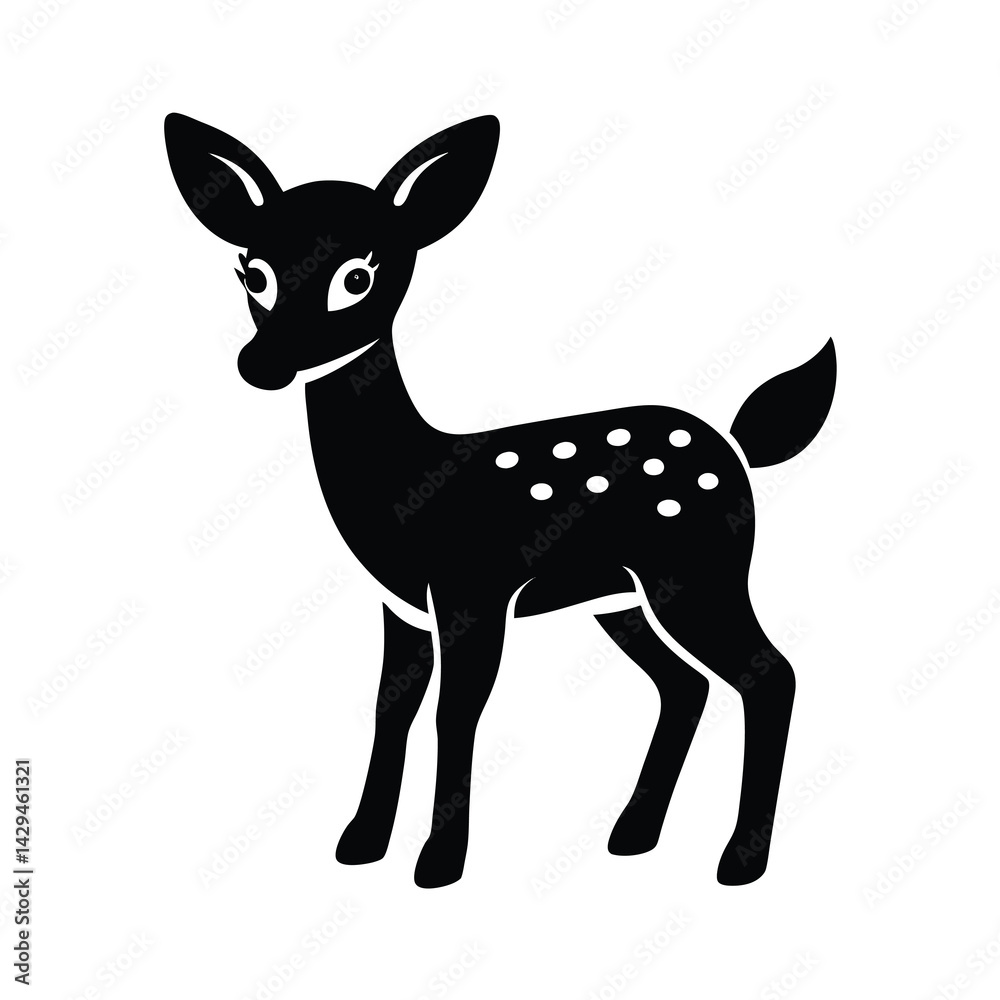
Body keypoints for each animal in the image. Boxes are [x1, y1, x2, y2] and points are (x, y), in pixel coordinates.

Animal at [165, 112, 836, 889]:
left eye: (358, 276)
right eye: (252, 273)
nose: (262, 364)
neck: (406, 479)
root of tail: (736, 443)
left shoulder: (474, 589)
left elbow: (455, 713)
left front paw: (437, 863)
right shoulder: (402, 606)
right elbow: (390, 708)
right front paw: (361, 843)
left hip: (700, 571)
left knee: (770, 675)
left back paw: (741, 860)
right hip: (621, 597)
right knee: (685, 686)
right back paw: (634, 834)